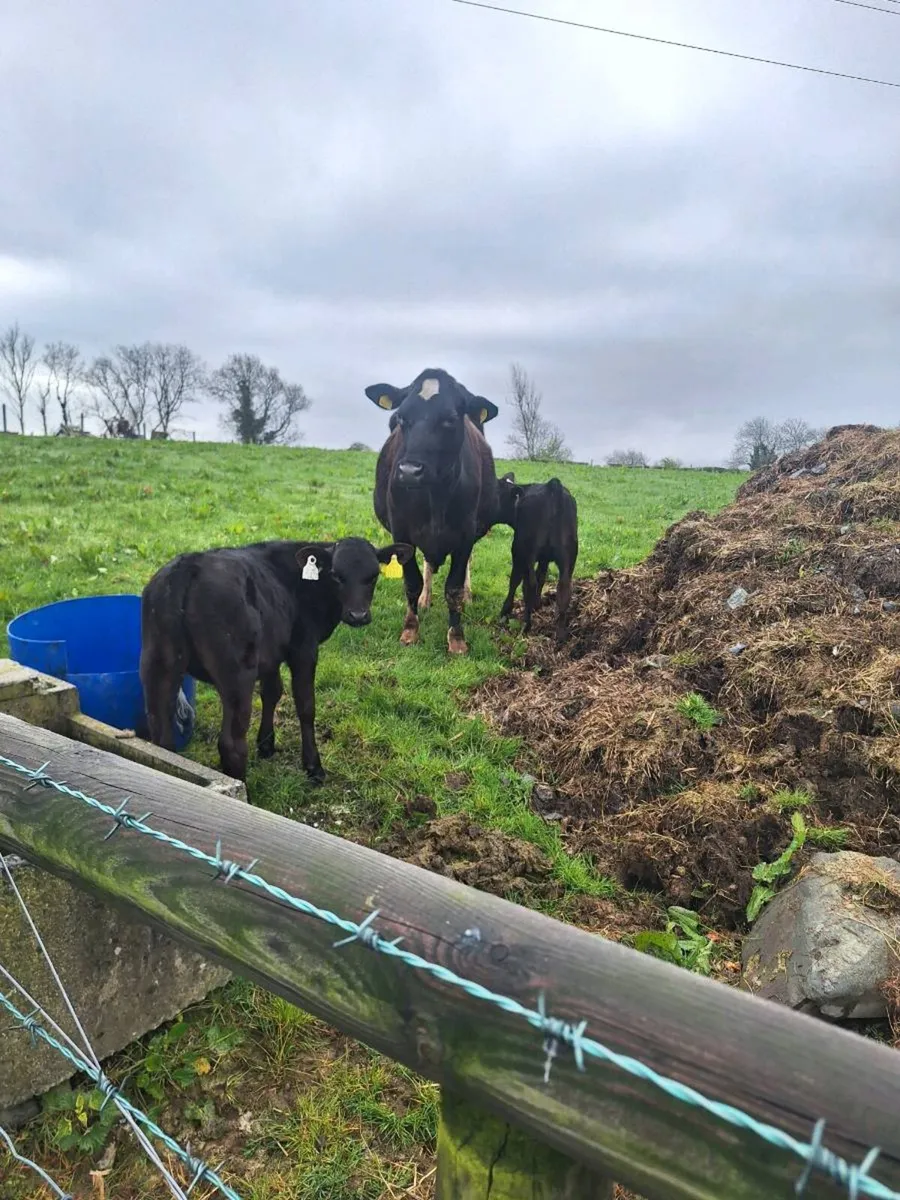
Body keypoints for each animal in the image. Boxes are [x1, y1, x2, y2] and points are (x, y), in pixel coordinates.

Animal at [140, 536, 413, 784]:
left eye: (373, 575)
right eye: (337, 575)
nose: (358, 615)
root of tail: (190, 565)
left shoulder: (271, 654)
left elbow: (272, 692)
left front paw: (266, 745)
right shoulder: (304, 650)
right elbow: (305, 706)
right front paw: (313, 767)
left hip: (157, 665)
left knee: (161, 734)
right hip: (237, 674)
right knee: (231, 744)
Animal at [367, 368, 499, 654]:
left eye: (449, 419)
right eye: (401, 417)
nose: (409, 471)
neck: (434, 496)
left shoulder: (465, 534)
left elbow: (454, 588)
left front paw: (457, 638)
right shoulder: (402, 532)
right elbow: (412, 582)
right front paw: (410, 630)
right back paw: (426, 600)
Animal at [495, 472, 579, 645]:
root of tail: (553, 486)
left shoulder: (518, 553)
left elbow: (515, 580)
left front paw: (505, 611)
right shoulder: (544, 558)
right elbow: (542, 576)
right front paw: (537, 605)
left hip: (527, 552)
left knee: (529, 585)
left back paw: (526, 625)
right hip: (569, 559)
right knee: (564, 589)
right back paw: (561, 635)